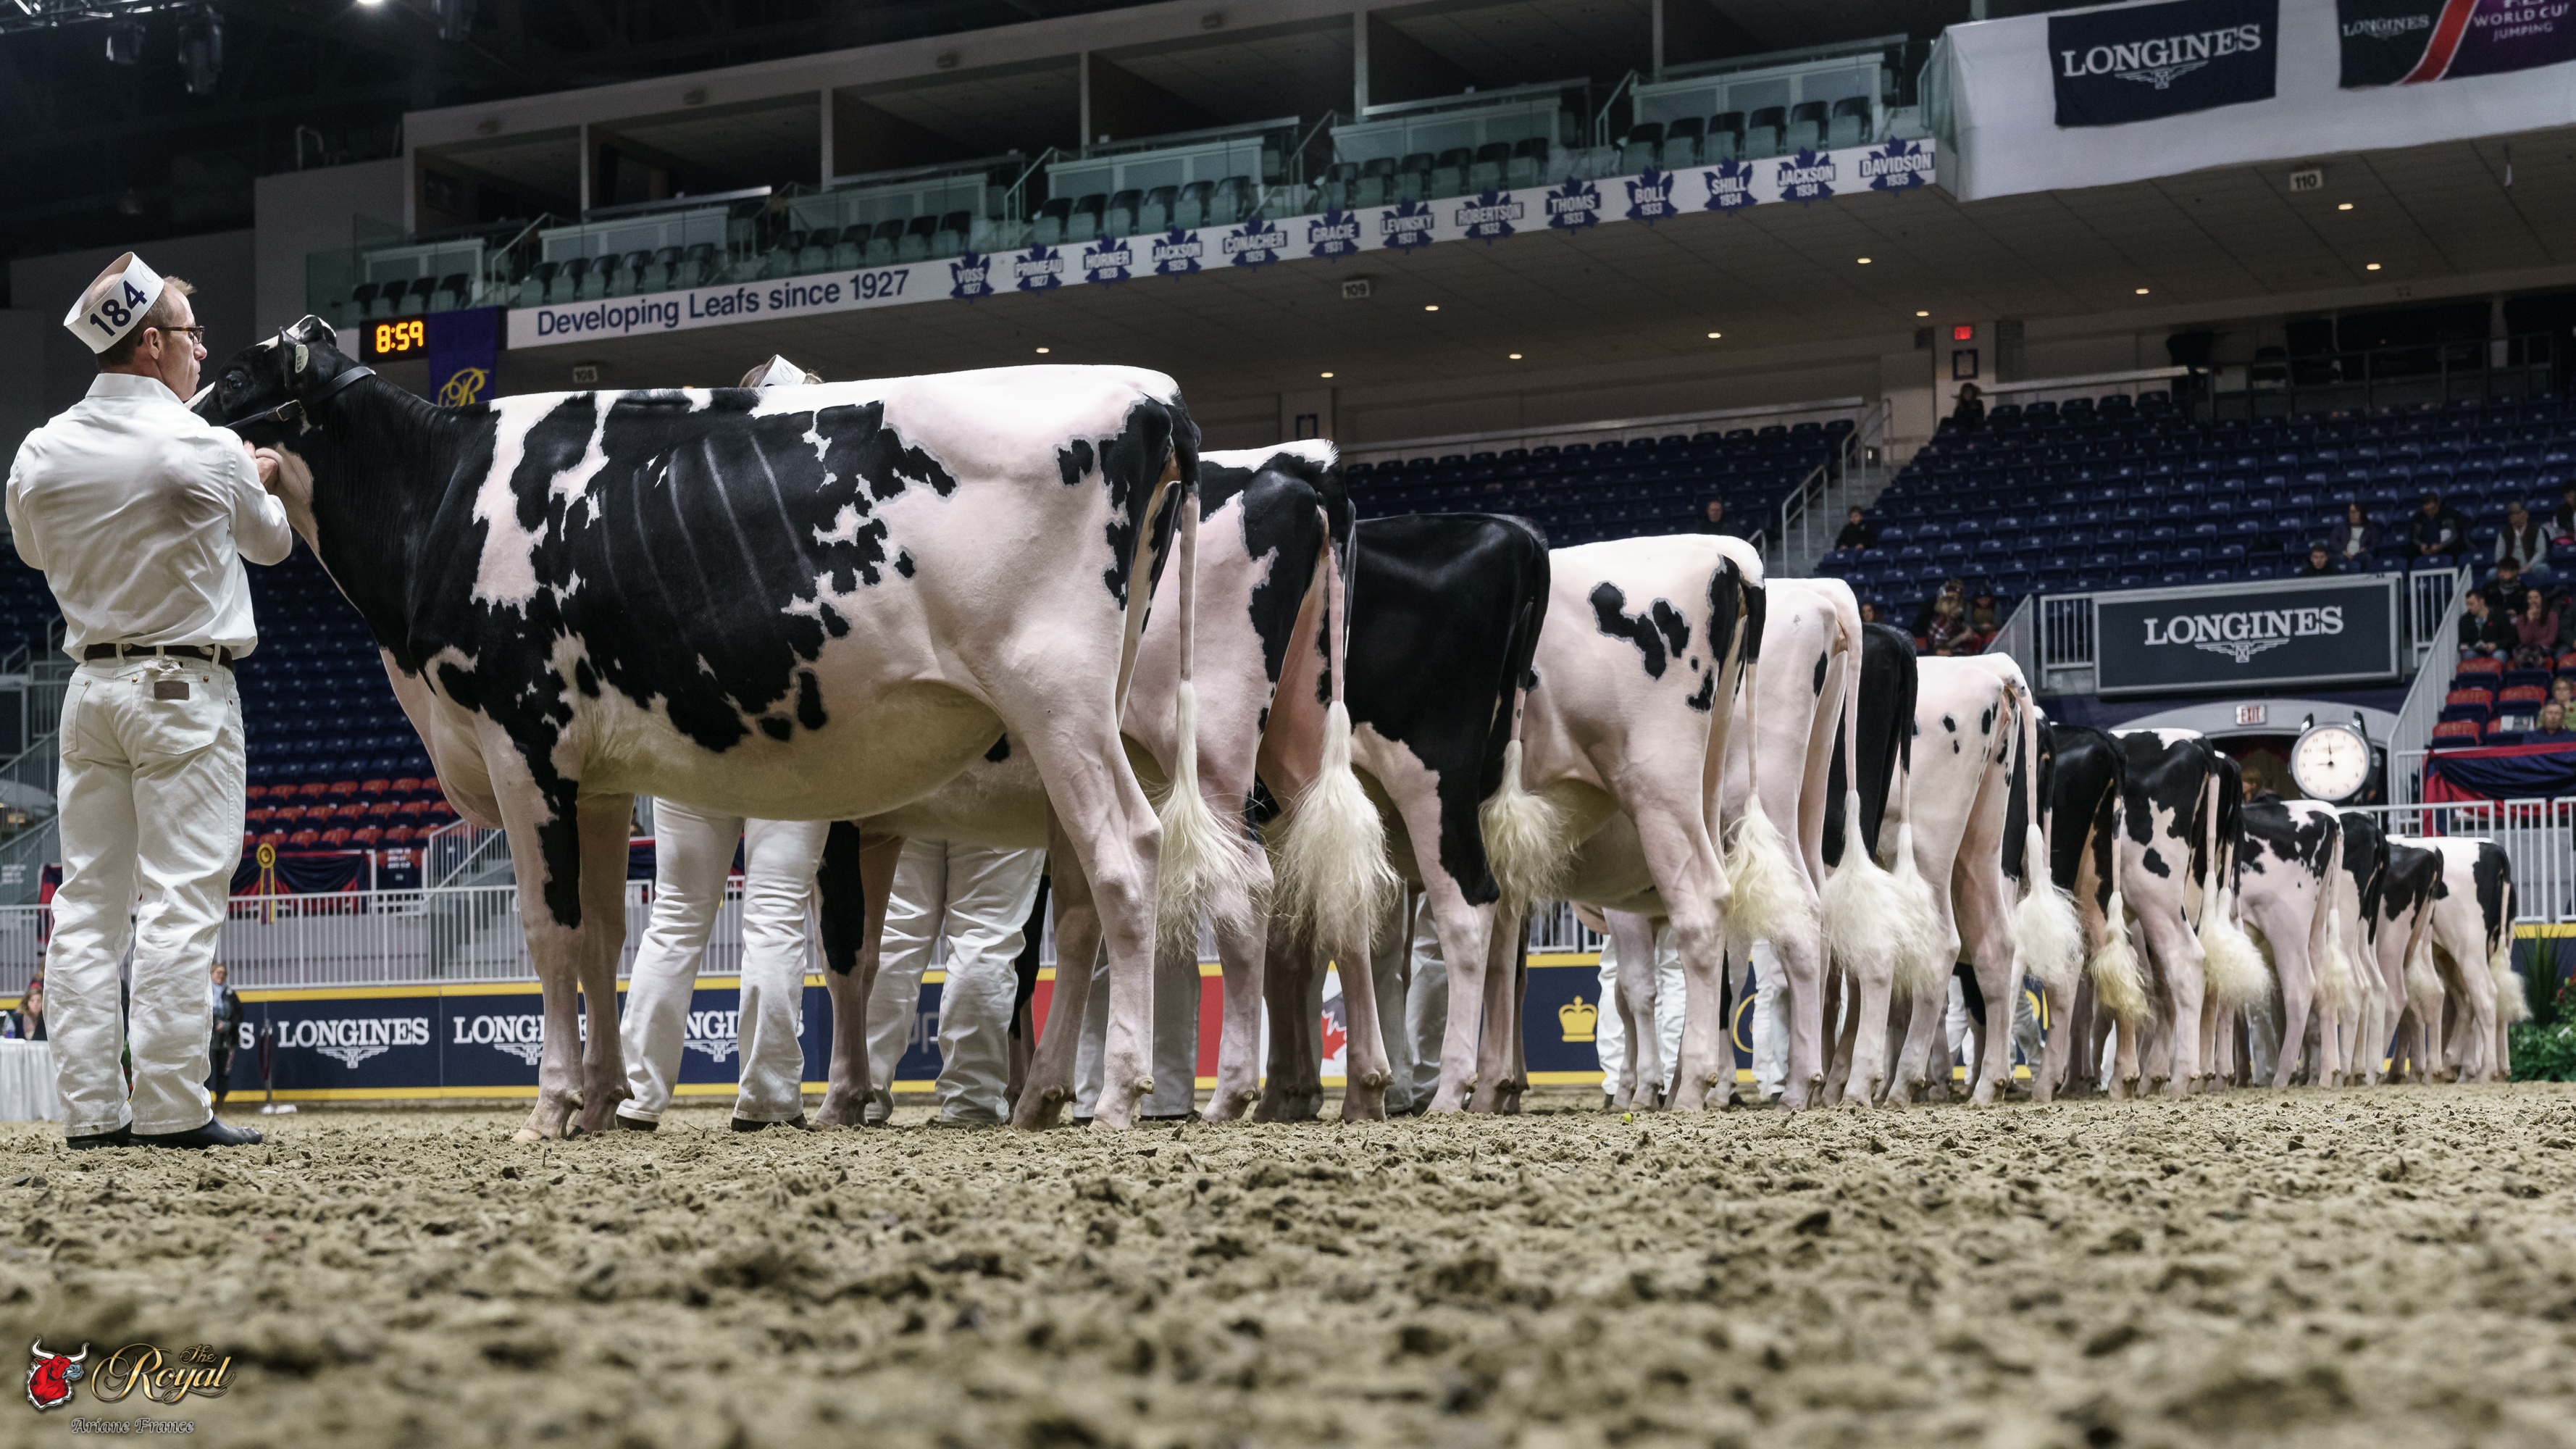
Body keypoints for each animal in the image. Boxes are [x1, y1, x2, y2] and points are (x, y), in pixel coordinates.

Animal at [199, 318, 1207, 1136]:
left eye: (238, 377)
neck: (440, 497)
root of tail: (1153, 396)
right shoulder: (595, 777)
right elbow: (605, 933)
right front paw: (602, 1100)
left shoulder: (522, 740)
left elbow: (549, 927)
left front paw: (551, 1105)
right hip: (1080, 720)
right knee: (1078, 904)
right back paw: (1042, 1095)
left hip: (1055, 693)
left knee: (1126, 857)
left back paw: (1118, 1093)